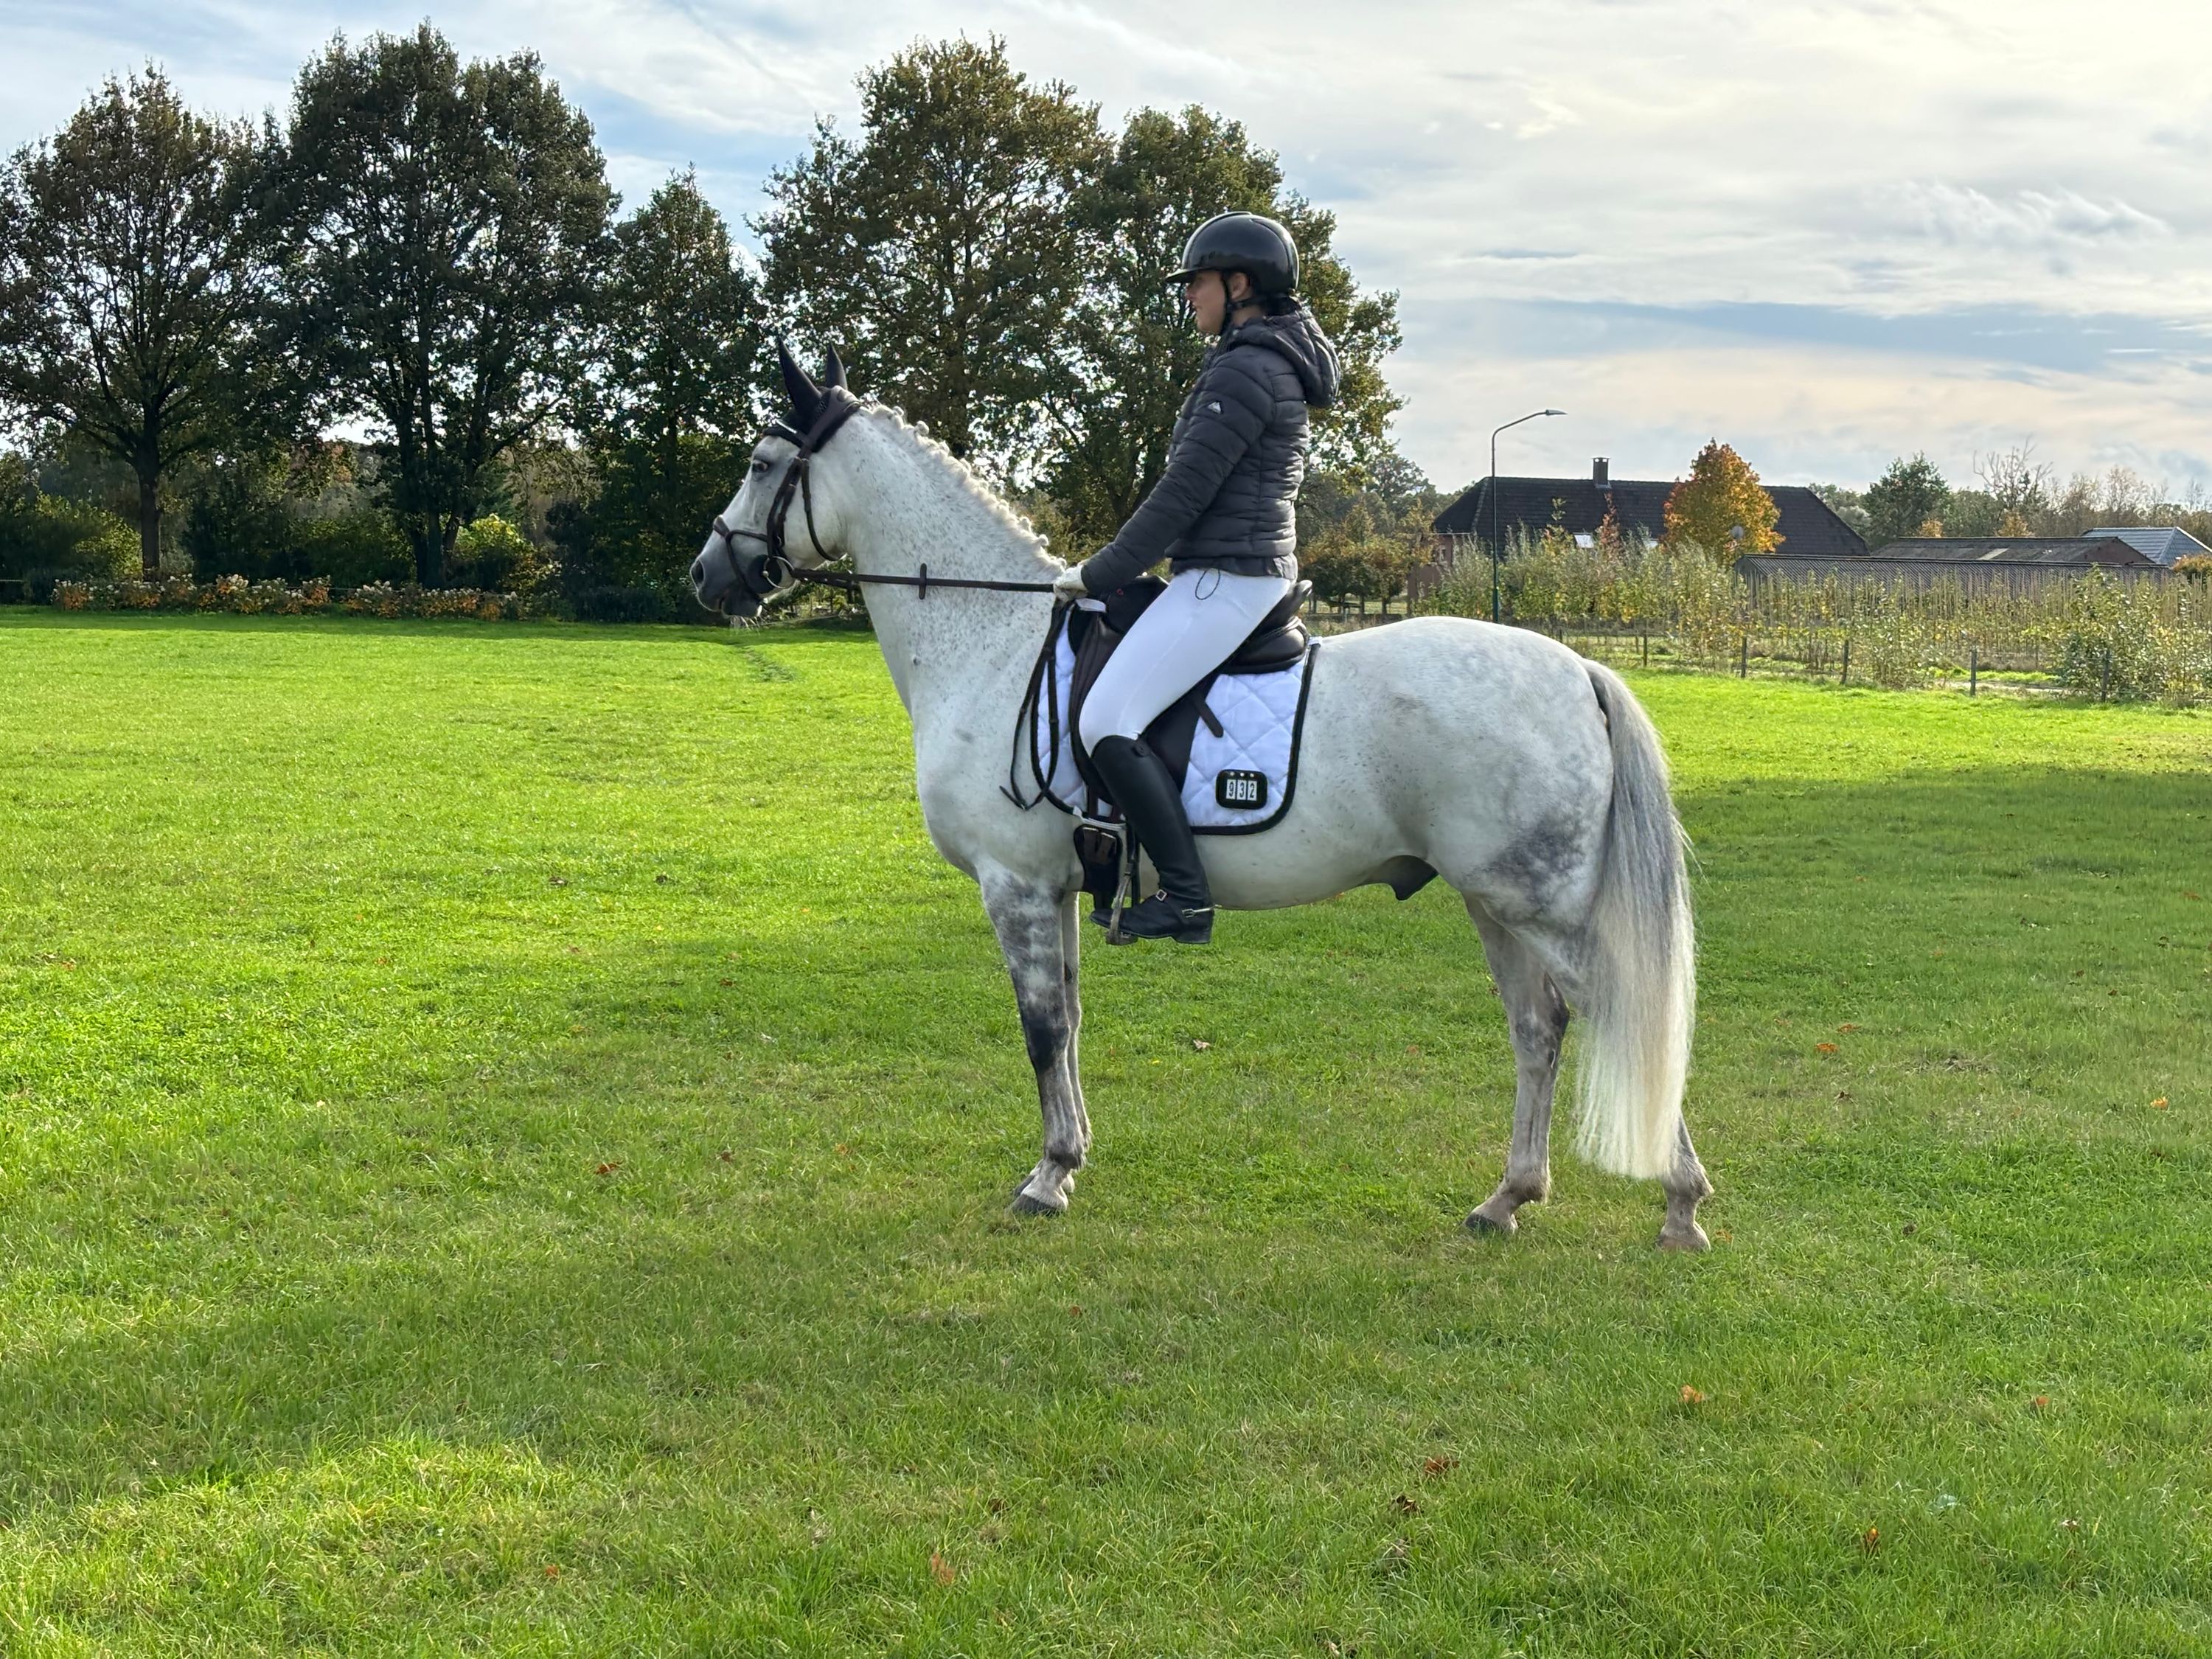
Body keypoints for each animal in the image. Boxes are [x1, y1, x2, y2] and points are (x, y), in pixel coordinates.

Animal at [691, 349, 1712, 1250]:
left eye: (761, 465)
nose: (706, 576)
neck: (994, 641)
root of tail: (1577, 669)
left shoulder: (1013, 885)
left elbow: (1040, 1031)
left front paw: (1045, 1180)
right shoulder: (1057, 888)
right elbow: (1069, 1024)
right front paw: (1069, 1160)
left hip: (1540, 907)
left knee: (1619, 1016)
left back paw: (1680, 1203)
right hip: (1495, 904)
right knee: (1539, 1031)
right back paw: (1509, 1198)